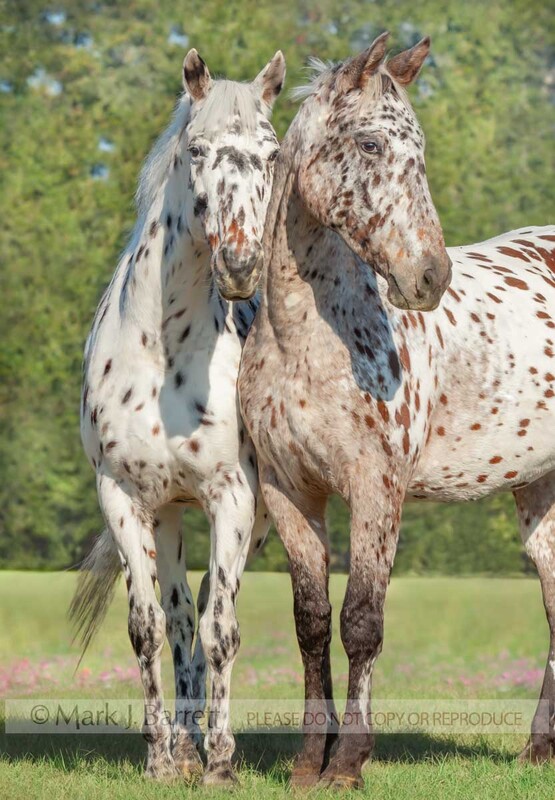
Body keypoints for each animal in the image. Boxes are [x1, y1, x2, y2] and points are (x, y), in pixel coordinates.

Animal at [71, 48, 285, 785]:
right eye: (196, 149)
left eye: (272, 153)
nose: (241, 265)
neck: (163, 354)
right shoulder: (125, 497)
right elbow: (152, 627)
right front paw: (163, 758)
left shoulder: (232, 497)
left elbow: (223, 628)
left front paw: (220, 760)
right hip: (167, 518)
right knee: (180, 617)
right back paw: (184, 743)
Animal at [238, 32, 555, 789]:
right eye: (372, 144)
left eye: (420, 150)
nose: (429, 278)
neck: (305, 340)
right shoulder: (290, 490)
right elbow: (312, 621)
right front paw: (307, 762)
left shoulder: (376, 489)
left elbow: (362, 621)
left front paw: (349, 763)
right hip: (538, 492)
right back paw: (537, 749)